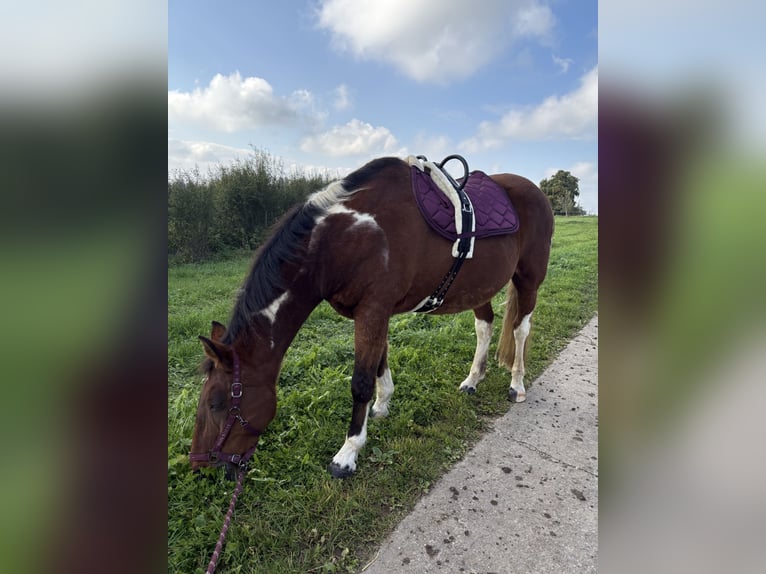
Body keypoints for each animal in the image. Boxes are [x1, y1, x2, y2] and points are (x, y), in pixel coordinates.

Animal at [190, 156, 553, 479]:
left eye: (216, 403)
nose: (199, 464)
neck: (347, 237)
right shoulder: (374, 312)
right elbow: (379, 360)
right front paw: (382, 406)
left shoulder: (374, 309)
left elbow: (361, 381)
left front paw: (348, 453)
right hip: (480, 288)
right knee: (484, 327)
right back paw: (473, 379)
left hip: (529, 280)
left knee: (520, 330)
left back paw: (517, 384)